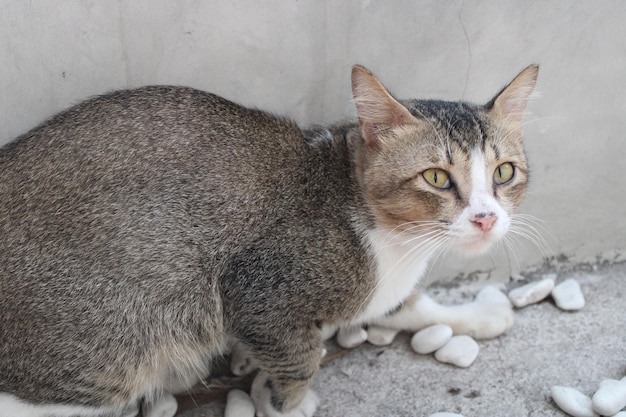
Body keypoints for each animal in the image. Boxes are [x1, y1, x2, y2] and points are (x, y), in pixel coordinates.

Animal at [0, 62, 536, 416]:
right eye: (437, 178)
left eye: (504, 173)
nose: (486, 218)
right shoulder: (260, 289)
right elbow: (301, 356)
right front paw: (287, 401)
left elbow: (406, 303)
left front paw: (475, 315)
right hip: (110, 343)